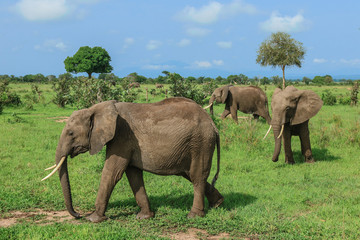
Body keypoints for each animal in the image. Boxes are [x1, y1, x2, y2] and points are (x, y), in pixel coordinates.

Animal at [42, 97, 222, 223]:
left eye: (71, 133)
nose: (78, 214)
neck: (96, 109)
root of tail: (213, 125)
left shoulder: (121, 136)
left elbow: (112, 172)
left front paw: (93, 219)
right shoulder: (126, 142)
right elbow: (133, 175)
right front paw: (144, 217)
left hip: (200, 142)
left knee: (197, 176)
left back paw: (194, 216)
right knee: (190, 174)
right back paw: (218, 204)